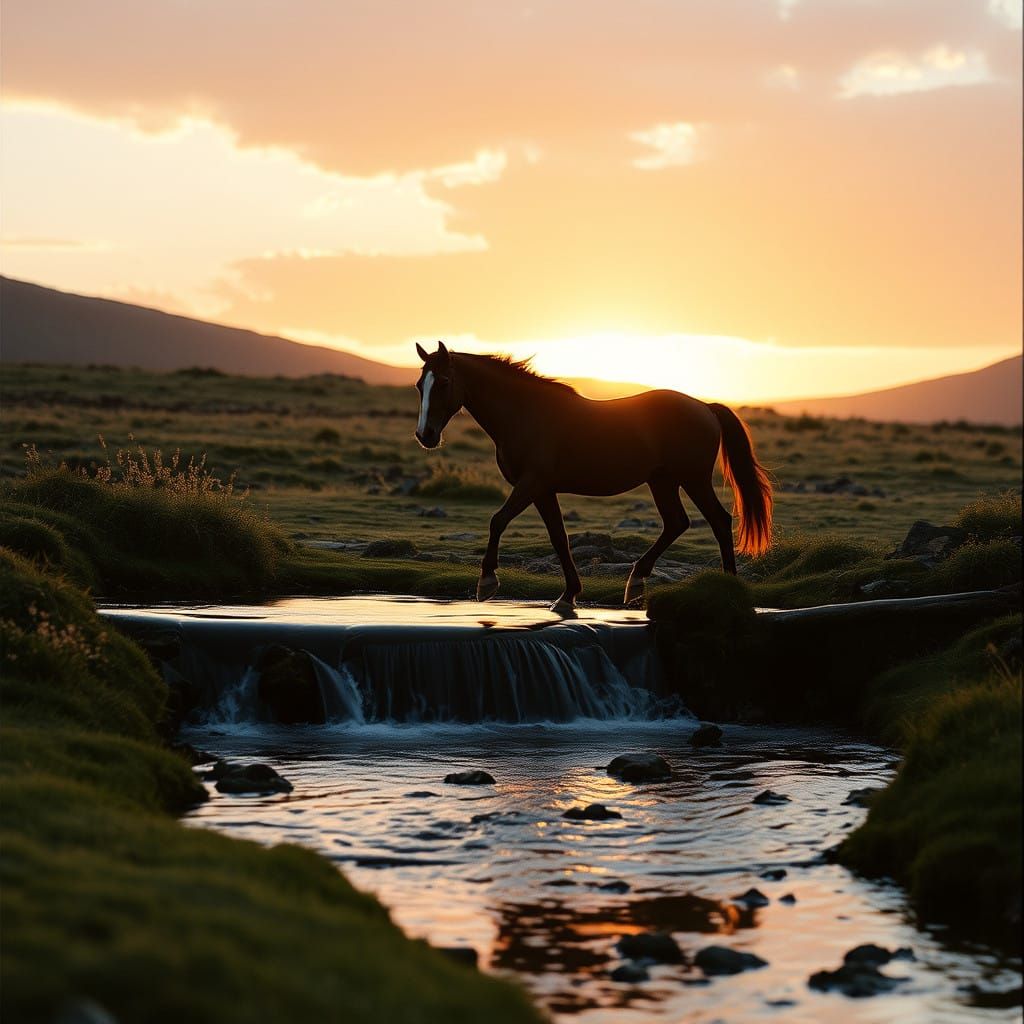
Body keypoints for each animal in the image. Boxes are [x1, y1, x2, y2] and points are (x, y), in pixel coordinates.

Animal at [413, 341, 772, 614]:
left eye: (443, 382)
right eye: (420, 385)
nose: (425, 435)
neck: (526, 414)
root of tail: (706, 407)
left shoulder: (531, 484)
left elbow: (497, 520)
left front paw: (487, 581)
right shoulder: (542, 490)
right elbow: (559, 538)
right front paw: (567, 595)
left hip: (692, 479)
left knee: (719, 521)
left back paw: (728, 590)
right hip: (662, 482)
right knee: (676, 523)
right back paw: (636, 582)